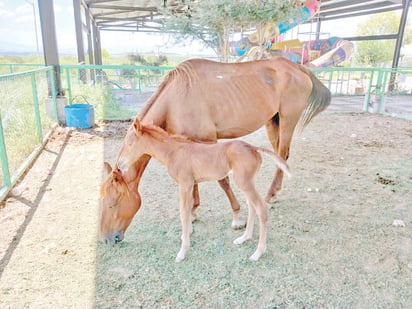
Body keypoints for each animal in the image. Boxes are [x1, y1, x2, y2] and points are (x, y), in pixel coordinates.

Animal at [100, 56, 332, 244]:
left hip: (287, 120)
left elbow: (223, 180)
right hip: (272, 121)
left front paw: (237, 218)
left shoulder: (208, 141)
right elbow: (195, 181)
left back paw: (270, 195)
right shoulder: (191, 143)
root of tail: (297, 67)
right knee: (279, 156)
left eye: (114, 203)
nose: (107, 239)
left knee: (282, 154)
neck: (176, 98)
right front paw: (193, 213)